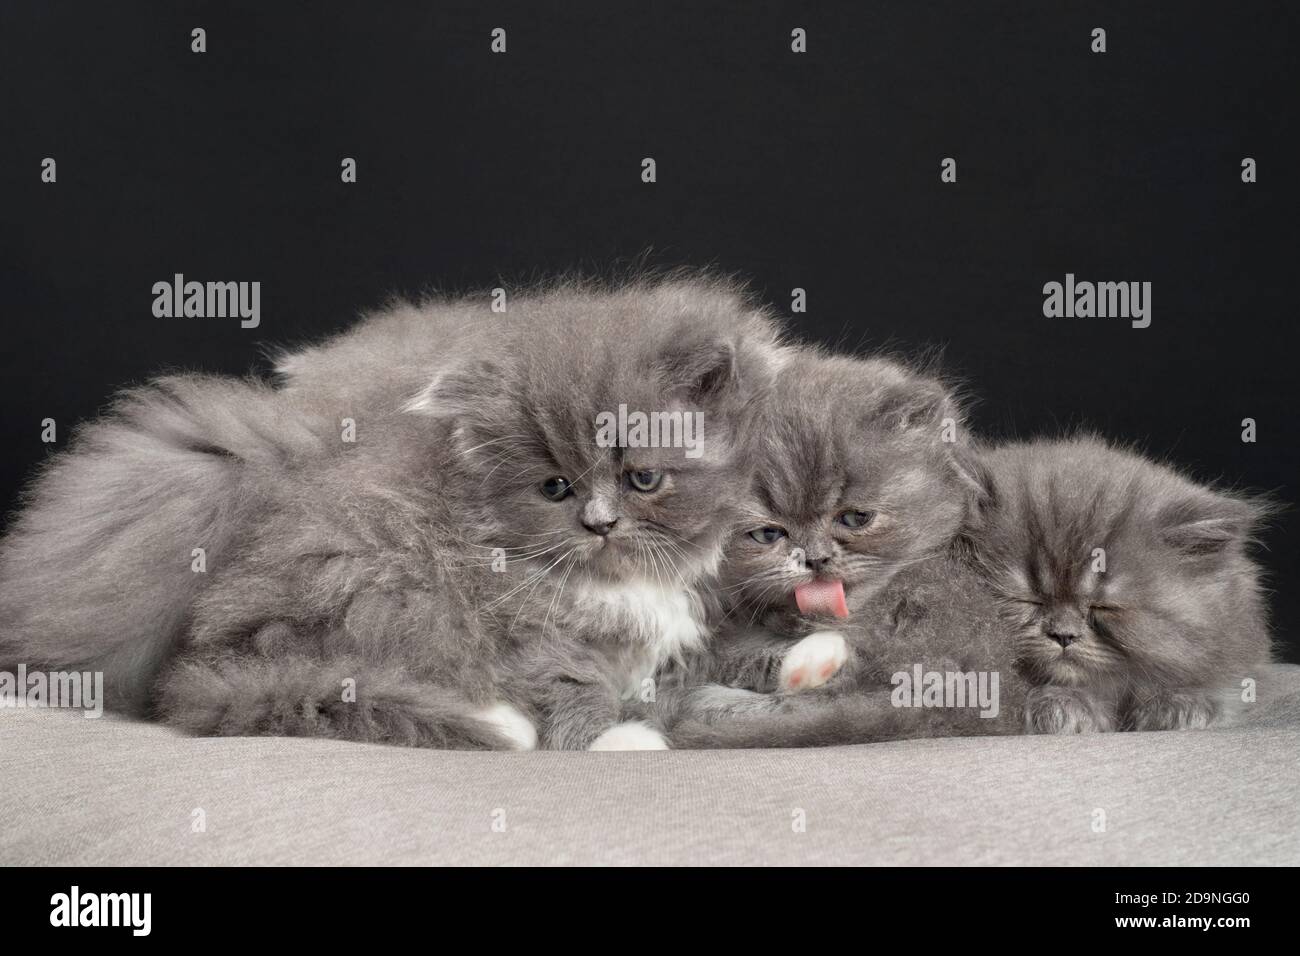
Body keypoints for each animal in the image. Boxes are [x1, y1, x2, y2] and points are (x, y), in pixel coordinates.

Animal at [0, 280, 780, 749]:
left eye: (643, 478)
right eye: (555, 487)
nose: (598, 524)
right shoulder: (522, 625)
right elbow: (567, 683)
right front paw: (617, 733)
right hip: (382, 588)